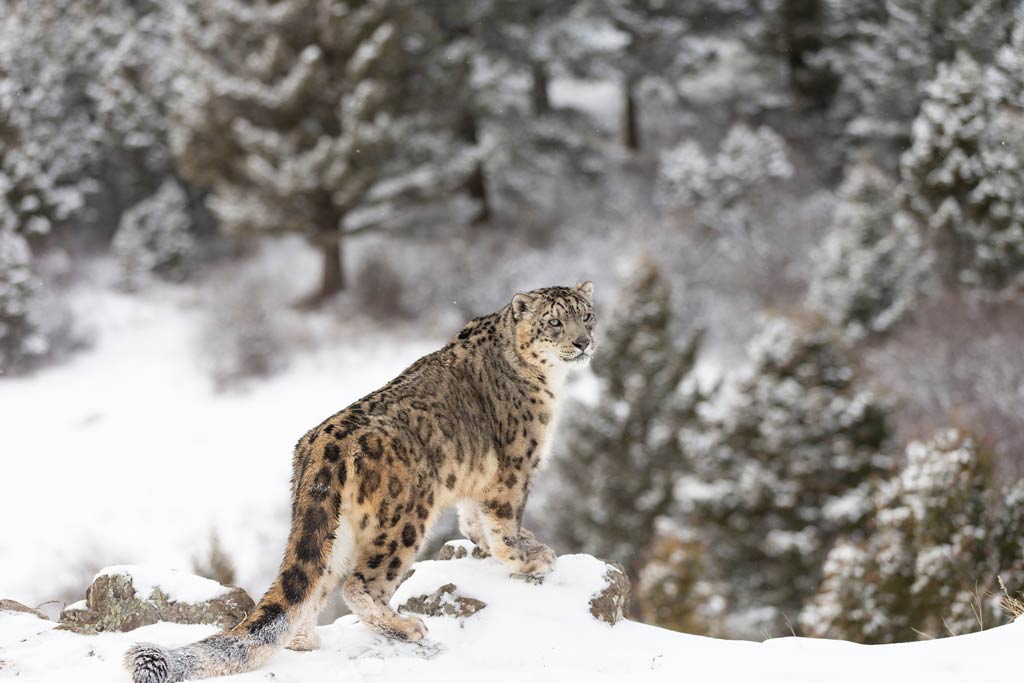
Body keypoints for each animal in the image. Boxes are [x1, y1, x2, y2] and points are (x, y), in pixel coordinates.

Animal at [123, 282, 598, 683]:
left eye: (587, 315)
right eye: (555, 322)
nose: (583, 342)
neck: (549, 382)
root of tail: (320, 447)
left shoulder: (477, 480)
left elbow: (473, 520)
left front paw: (506, 545)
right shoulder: (515, 467)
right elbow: (504, 522)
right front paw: (528, 558)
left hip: (335, 530)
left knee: (313, 586)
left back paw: (306, 639)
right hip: (406, 518)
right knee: (361, 585)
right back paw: (406, 626)